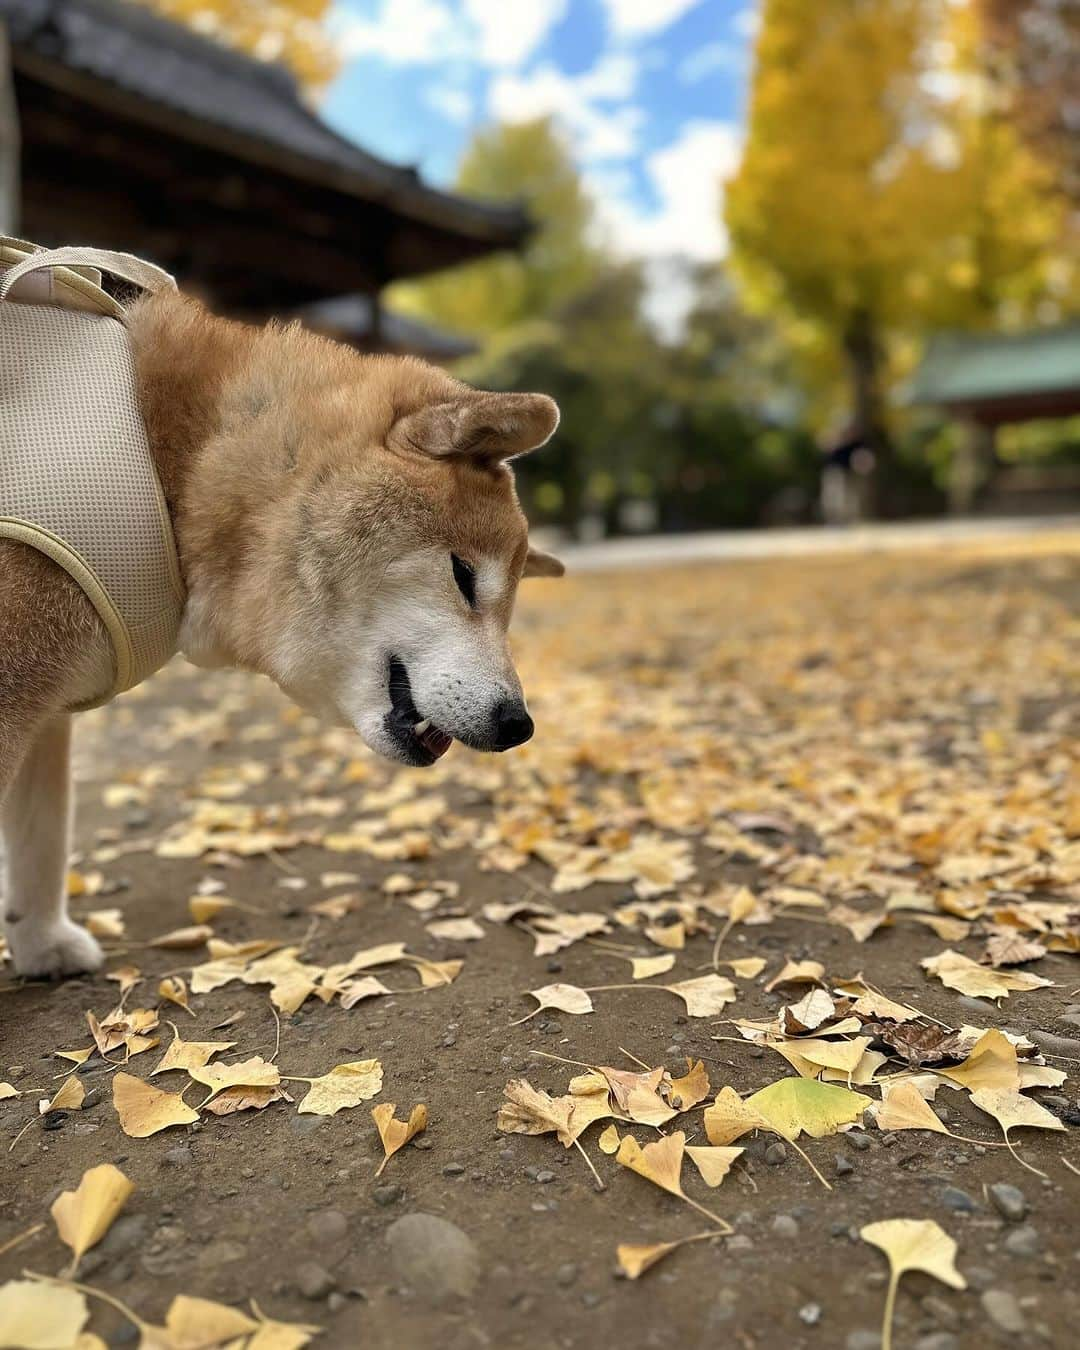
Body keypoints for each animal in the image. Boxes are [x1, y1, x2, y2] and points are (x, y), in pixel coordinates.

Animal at [0, 290, 556, 977]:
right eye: (464, 576)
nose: (518, 724)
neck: (175, 464)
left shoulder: (45, 710)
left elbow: (41, 838)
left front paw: (41, 941)